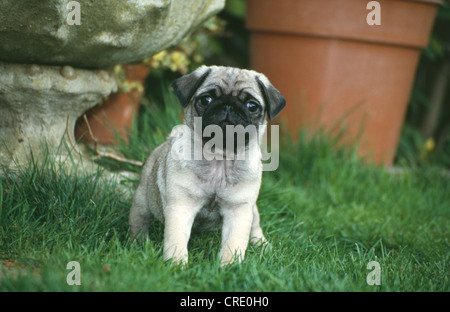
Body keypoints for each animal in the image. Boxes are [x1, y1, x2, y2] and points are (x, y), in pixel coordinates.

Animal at [128, 66, 286, 266]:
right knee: (139, 222)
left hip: (252, 210)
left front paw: (229, 266)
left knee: (255, 228)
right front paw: (176, 264)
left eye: (252, 106)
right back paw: (139, 243)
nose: (228, 106)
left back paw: (263, 247)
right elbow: (176, 239)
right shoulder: (181, 206)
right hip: (142, 201)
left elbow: (233, 243)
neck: (220, 158)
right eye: (206, 100)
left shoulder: (239, 210)